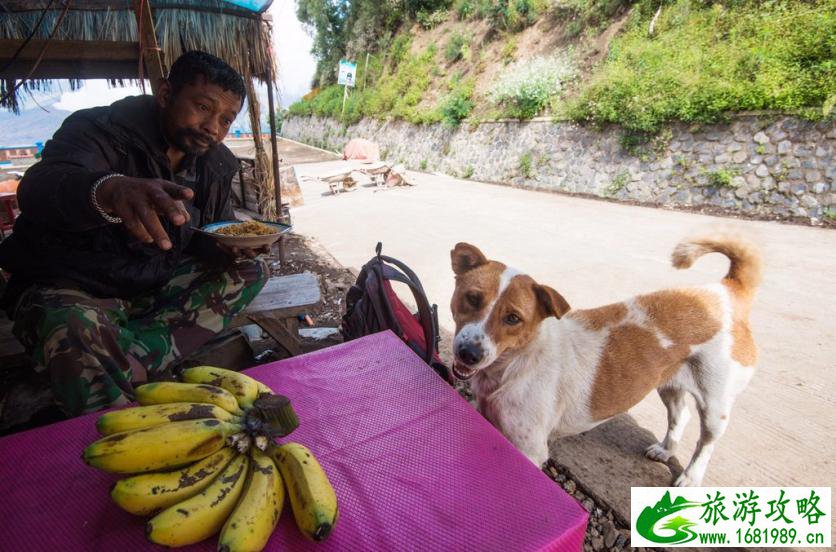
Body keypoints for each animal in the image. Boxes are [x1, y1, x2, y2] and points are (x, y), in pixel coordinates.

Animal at [454, 235, 760, 486]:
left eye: (513, 318)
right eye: (472, 298)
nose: (468, 353)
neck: (517, 363)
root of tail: (726, 291)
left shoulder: (529, 450)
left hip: (714, 407)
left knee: (706, 443)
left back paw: (690, 478)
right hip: (667, 383)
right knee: (680, 415)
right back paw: (665, 450)